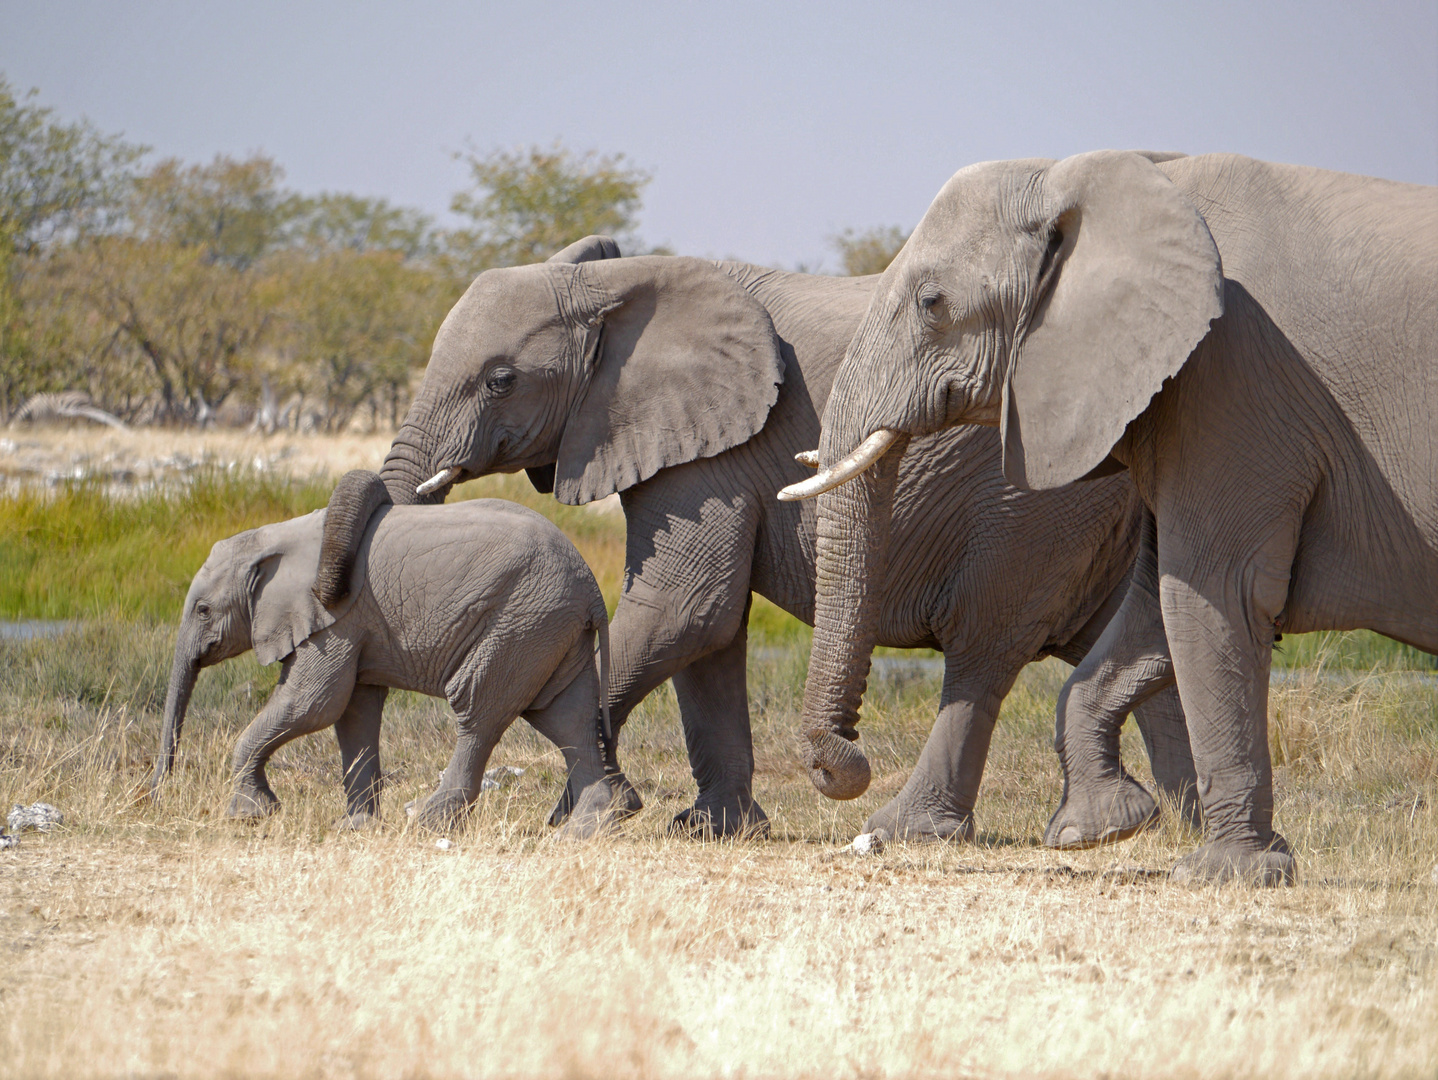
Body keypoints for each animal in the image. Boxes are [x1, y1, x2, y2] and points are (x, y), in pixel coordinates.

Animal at [148, 471, 615, 834]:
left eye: (204, 610)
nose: (154, 795)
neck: (276, 535)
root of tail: (591, 587)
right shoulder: (354, 628)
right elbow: (353, 713)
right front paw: (355, 828)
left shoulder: (334, 619)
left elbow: (313, 704)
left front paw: (249, 816)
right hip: (550, 630)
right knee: (567, 717)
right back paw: (585, 831)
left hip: (519, 622)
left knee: (478, 711)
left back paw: (430, 823)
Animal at [788, 150, 1438, 880]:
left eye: (934, 304)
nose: (843, 765)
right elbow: (1157, 606)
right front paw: (1101, 829)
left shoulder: (1232, 379)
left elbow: (1215, 594)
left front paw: (1226, 874)